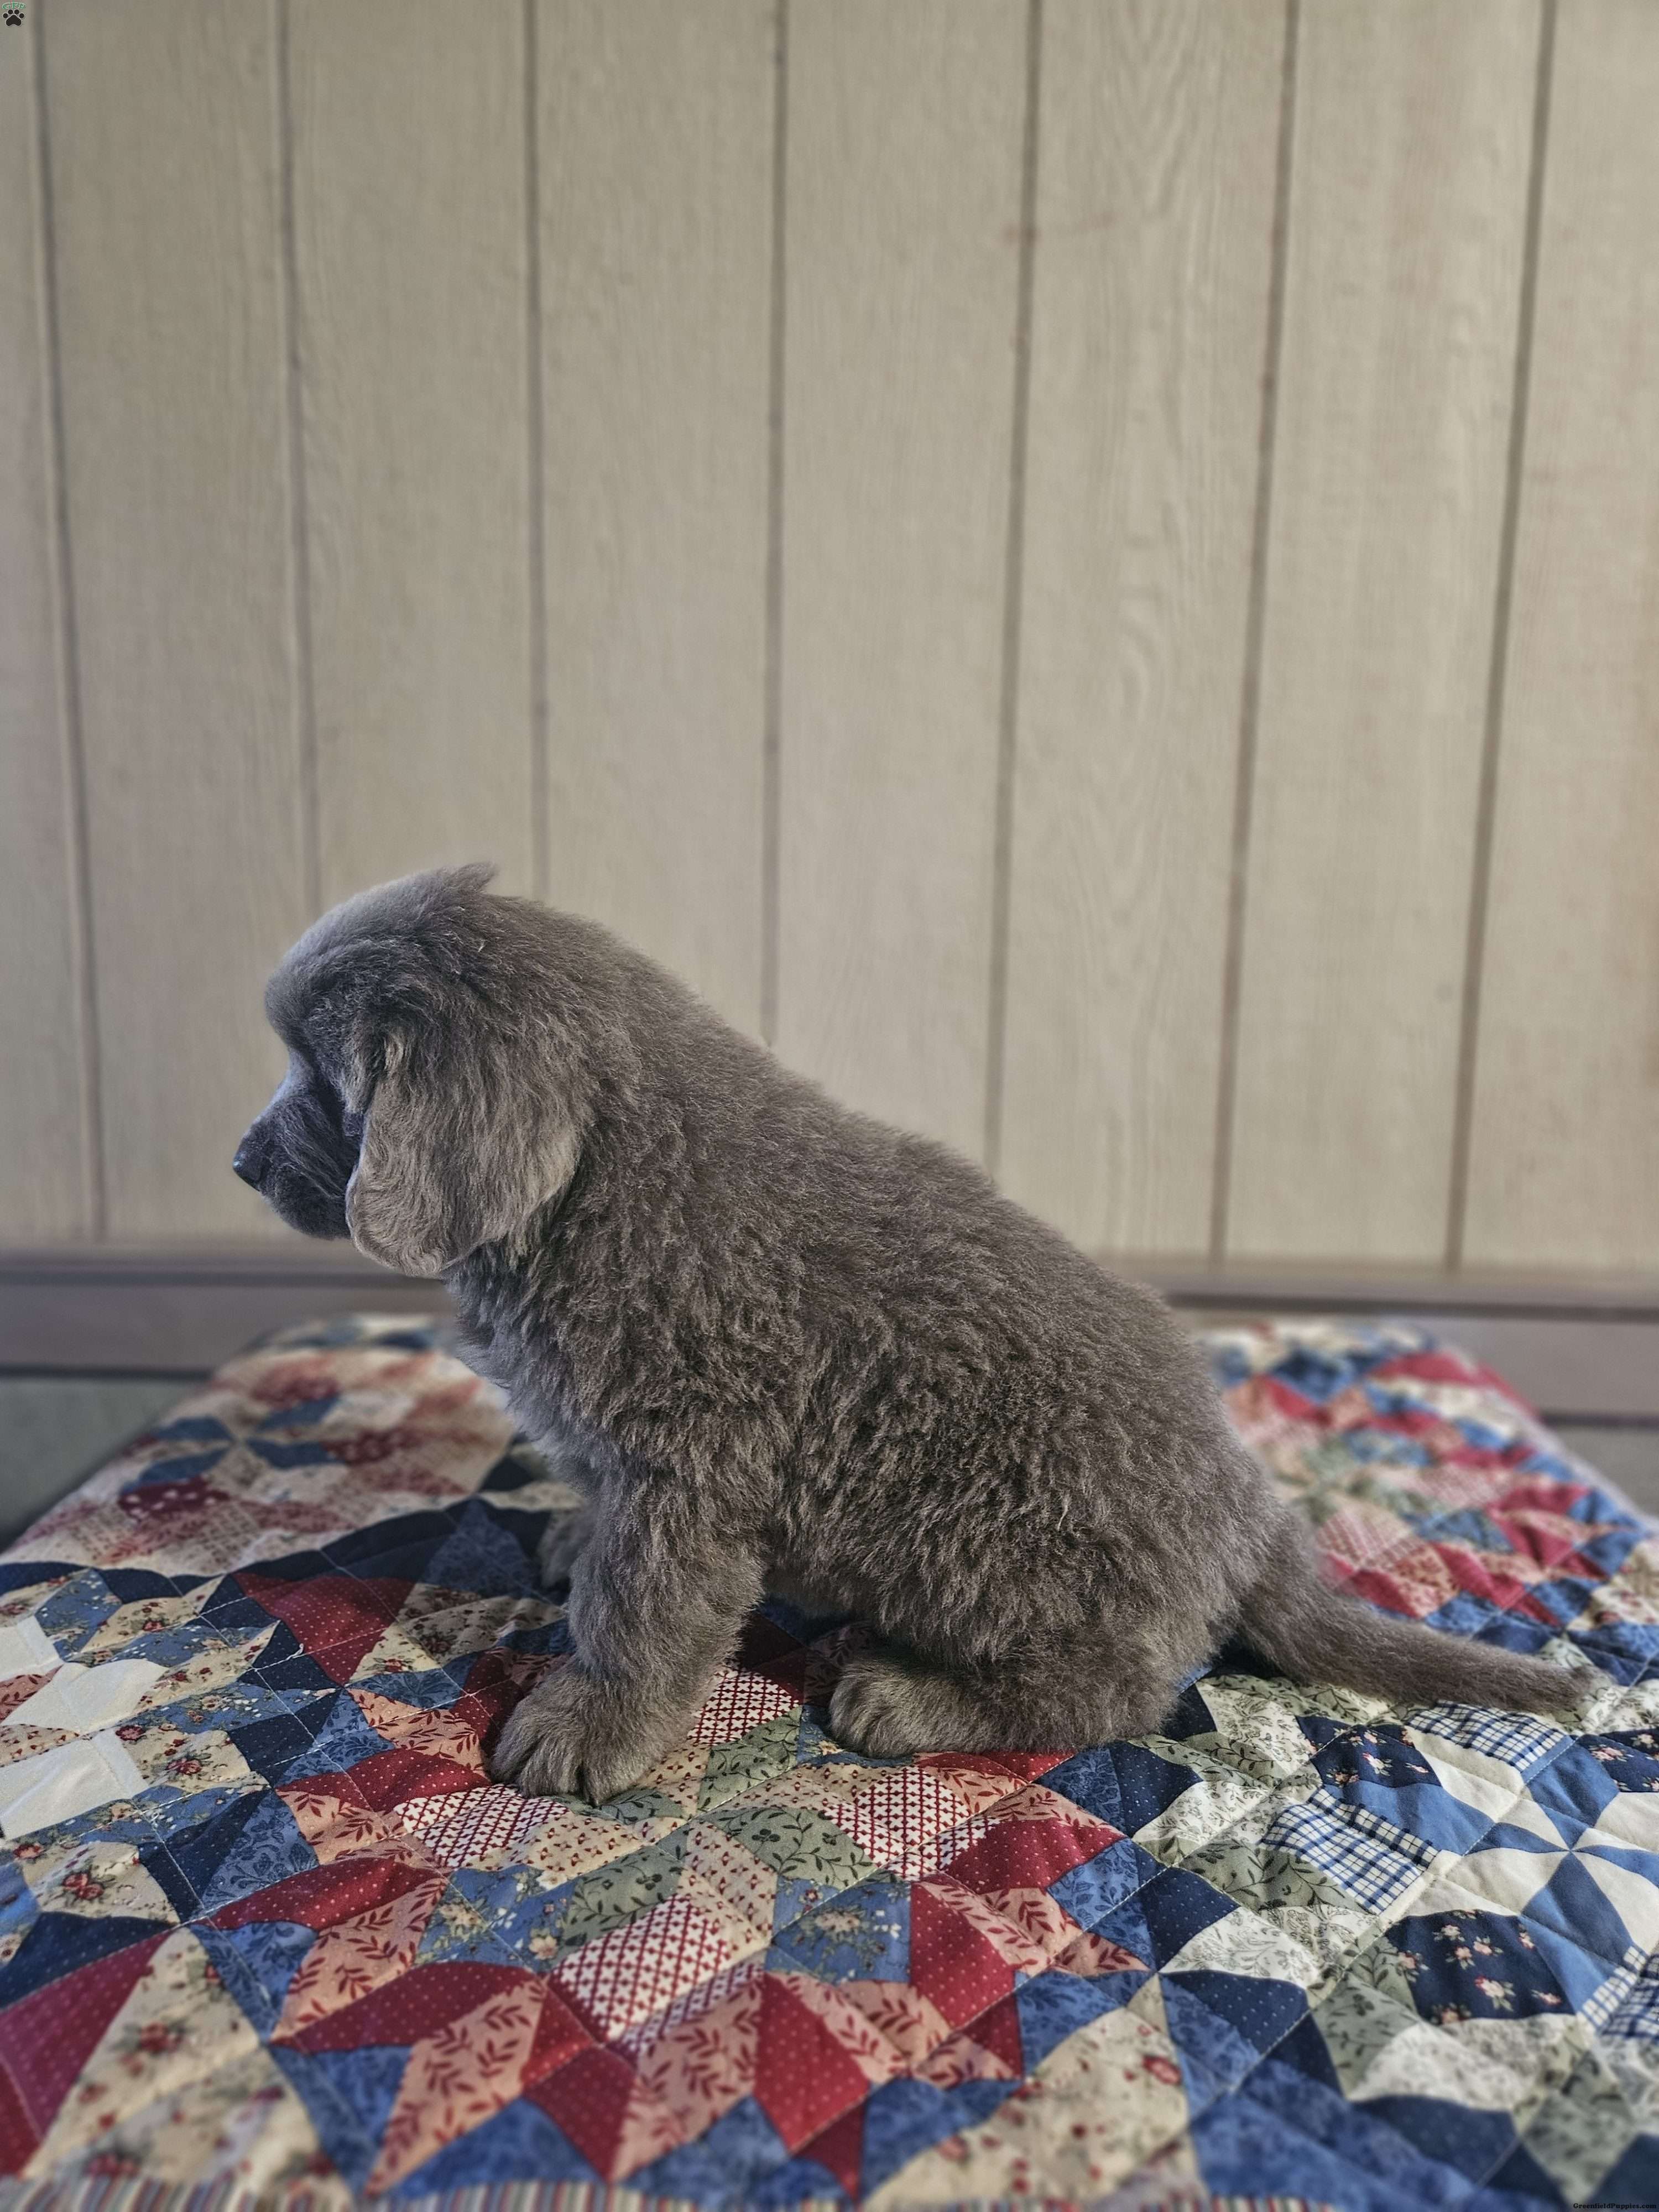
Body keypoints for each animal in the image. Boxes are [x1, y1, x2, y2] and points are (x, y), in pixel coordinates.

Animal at [235, 866, 1580, 1800]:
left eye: (325, 1081)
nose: (239, 1162)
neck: (587, 1193)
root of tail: (1256, 1514)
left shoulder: (691, 1471)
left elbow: (641, 1614)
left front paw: (585, 1724)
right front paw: (569, 1536)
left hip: (984, 1546)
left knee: (1125, 1690)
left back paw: (911, 1698)